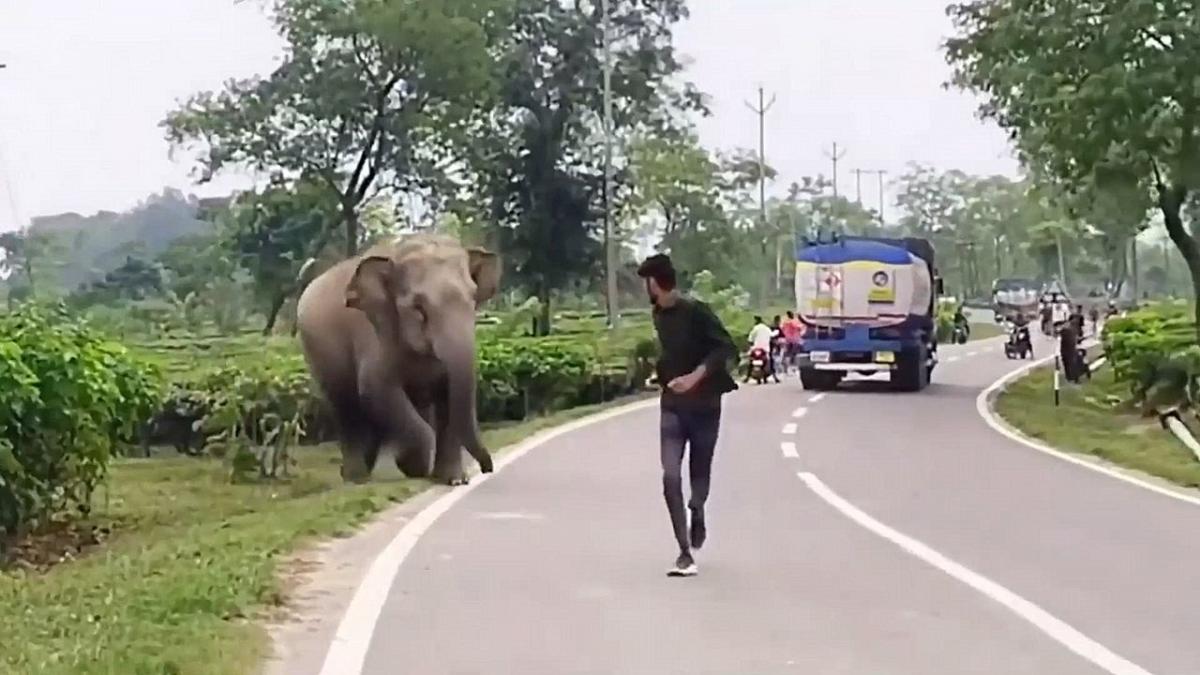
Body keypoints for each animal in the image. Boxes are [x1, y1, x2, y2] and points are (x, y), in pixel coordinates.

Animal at [300, 233, 506, 482]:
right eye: (418, 307)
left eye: (473, 297)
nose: (487, 468)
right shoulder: (374, 333)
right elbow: (375, 390)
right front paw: (410, 463)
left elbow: (447, 394)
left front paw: (453, 479)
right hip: (319, 353)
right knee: (345, 407)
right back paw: (355, 476)